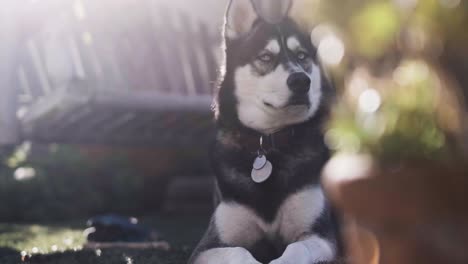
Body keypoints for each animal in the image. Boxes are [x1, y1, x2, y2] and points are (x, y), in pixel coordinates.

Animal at [189, 1, 340, 262]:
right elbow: (239, 251)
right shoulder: (207, 247)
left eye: (302, 56)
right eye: (266, 57)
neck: (269, 143)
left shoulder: (321, 236)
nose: (301, 81)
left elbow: (296, 248)